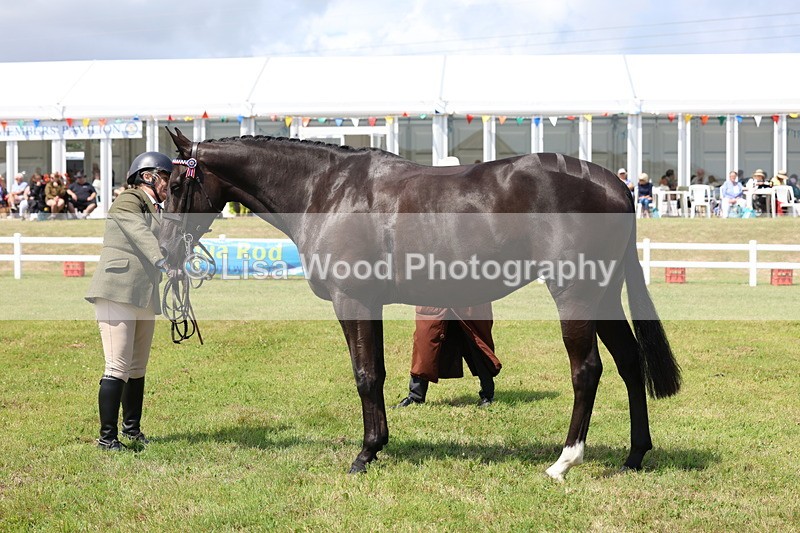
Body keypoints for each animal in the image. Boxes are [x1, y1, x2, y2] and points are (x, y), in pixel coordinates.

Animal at [159, 127, 681, 481]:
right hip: (604, 294)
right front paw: (378, 444)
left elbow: (365, 376)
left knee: (587, 370)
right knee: (630, 362)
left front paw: (365, 453)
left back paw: (564, 461)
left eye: (176, 187)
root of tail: (614, 185)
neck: (328, 190)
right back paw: (636, 455)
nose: (164, 247)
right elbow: (377, 373)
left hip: (575, 293)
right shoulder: (369, 304)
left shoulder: (352, 300)